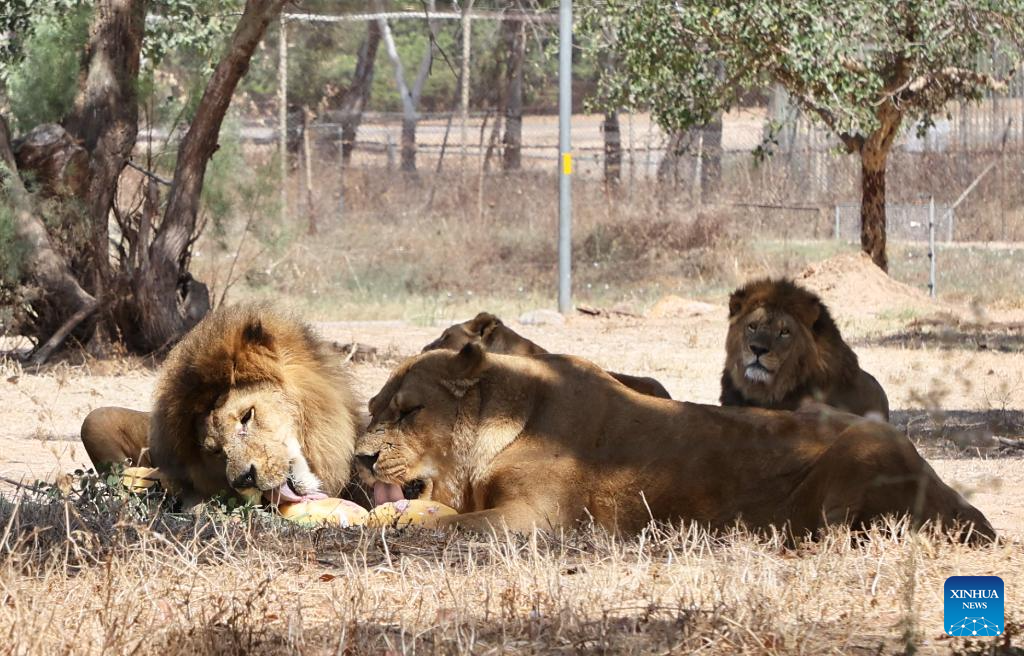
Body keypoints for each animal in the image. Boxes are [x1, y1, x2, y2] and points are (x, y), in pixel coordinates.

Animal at [354, 344, 992, 541]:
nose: (361, 458)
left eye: (409, 411)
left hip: (857, 452)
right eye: (372, 409)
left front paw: (397, 519)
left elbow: (442, 520)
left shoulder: (536, 520)